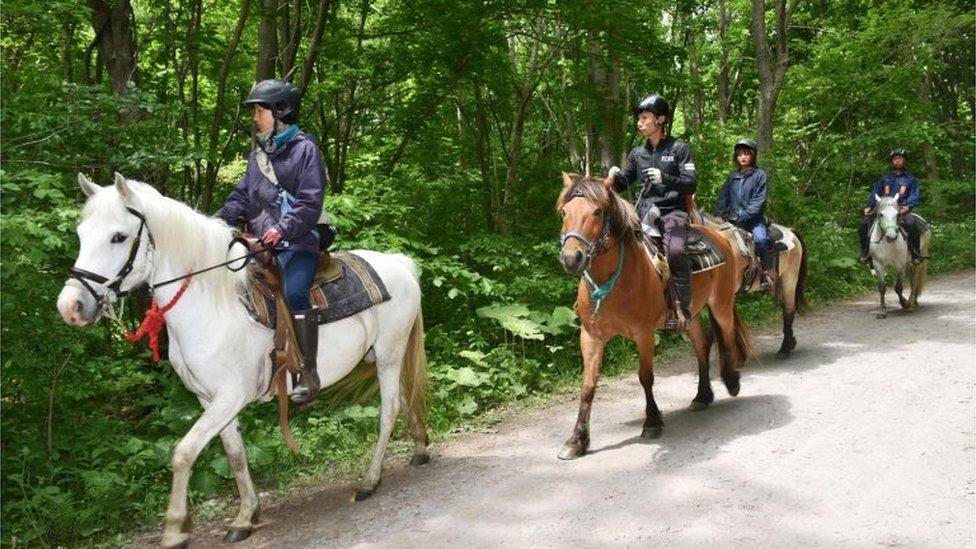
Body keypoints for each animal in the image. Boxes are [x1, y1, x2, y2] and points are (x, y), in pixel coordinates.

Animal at [55, 173, 428, 544]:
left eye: (119, 236)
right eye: (81, 234)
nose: (70, 307)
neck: (212, 304)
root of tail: (400, 263)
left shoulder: (230, 396)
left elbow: (183, 453)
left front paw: (175, 528)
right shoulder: (210, 400)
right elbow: (235, 455)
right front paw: (246, 517)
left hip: (389, 355)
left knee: (388, 410)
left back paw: (370, 481)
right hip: (383, 357)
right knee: (406, 396)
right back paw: (421, 449)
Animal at [552, 174, 752, 458]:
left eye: (597, 211)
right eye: (565, 212)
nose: (572, 259)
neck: (614, 280)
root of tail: (720, 236)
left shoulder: (644, 334)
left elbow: (645, 377)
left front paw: (652, 422)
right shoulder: (591, 336)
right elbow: (588, 385)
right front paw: (577, 440)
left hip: (721, 304)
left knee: (727, 334)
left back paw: (732, 382)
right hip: (689, 317)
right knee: (702, 346)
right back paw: (702, 396)